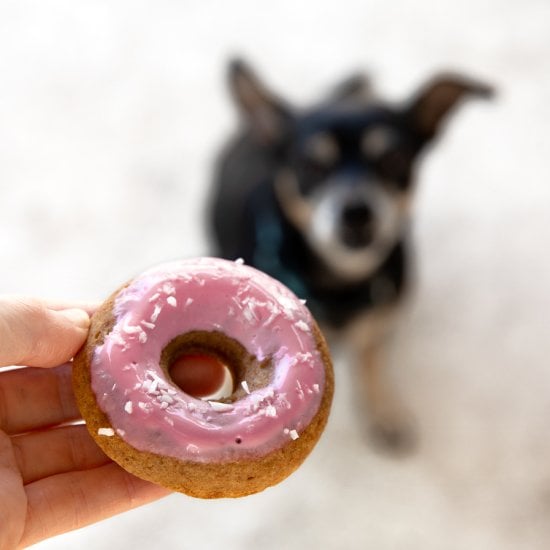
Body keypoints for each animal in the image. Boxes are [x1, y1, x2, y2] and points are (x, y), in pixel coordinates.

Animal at [209, 59, 494, 452]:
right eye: (311, 165)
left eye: (394, 159)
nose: (357, 211)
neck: (340, 284)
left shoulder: (381, 320)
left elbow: (373, 360)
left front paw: (385, 410)